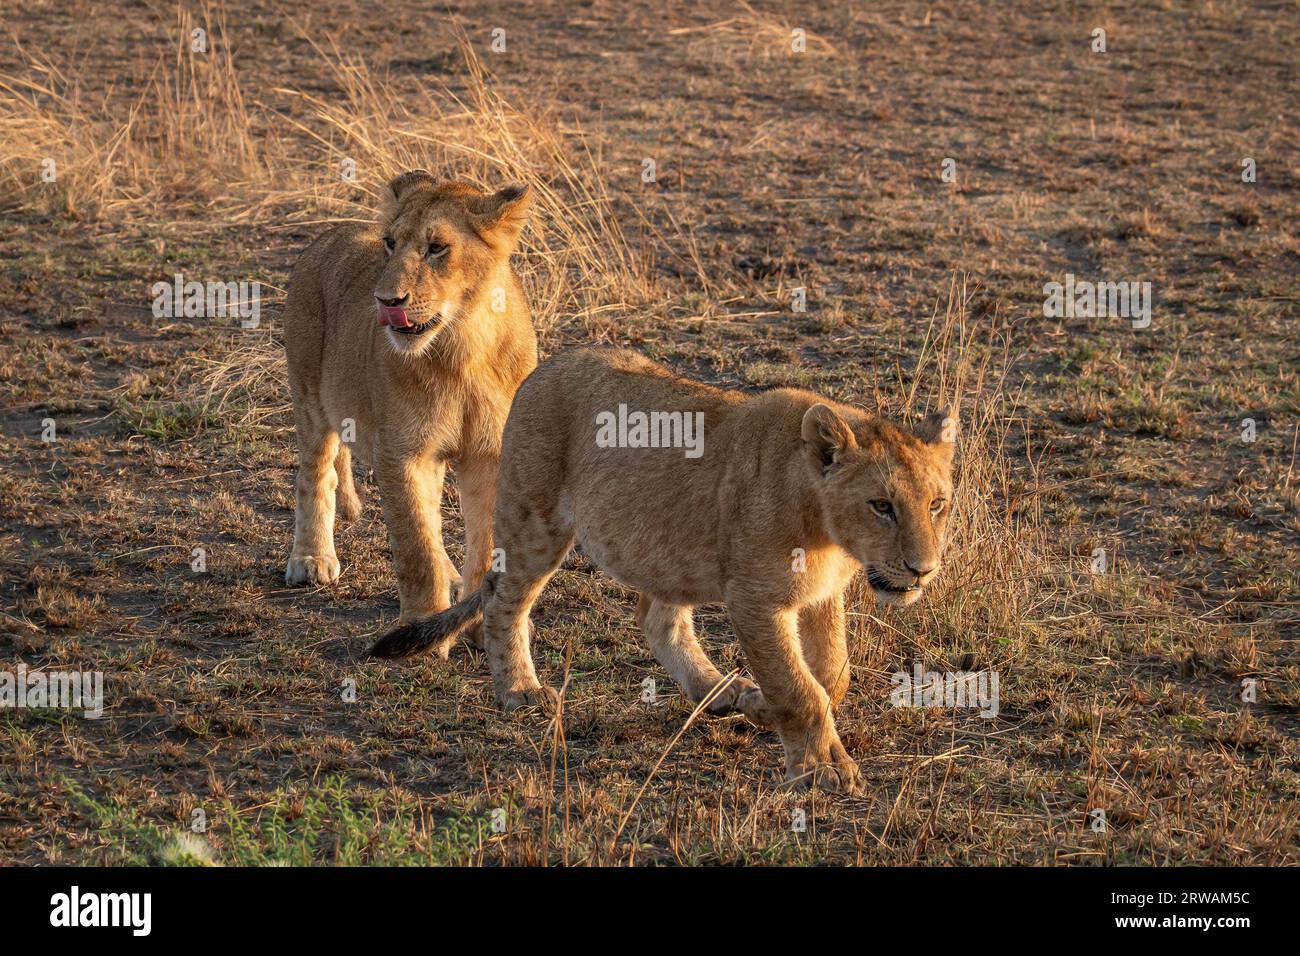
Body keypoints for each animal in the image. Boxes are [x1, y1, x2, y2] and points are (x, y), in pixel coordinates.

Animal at [282, 170, 537, 627]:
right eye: (390, 243)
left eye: (437, 248)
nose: (387, 301)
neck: (462, 348)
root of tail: (331, 232)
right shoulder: (401, 452)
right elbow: (415, 546)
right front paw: (421, 623)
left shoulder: (490, 452)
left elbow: (484, 542)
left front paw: (475, 619)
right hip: (310, 397)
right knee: (316, 473)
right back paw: (311, 559)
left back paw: (450, 574)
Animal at [371, 347, 958, 791]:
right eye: (882, 506)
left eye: (936, 505)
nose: (924, 571)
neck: (827, 532)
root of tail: (549, 363)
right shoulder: (755, 600)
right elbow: (801, 689)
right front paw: (819, 771)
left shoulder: (819, 595)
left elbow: (832, 676)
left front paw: (767, 708)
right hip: (535, 522)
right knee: (501, 601)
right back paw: (520, 690)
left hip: (664, 549)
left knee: (658, 621)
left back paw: (722, 692)